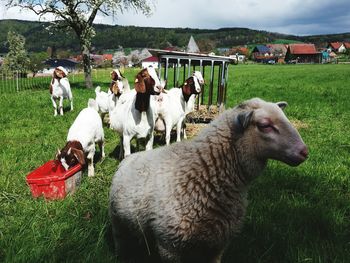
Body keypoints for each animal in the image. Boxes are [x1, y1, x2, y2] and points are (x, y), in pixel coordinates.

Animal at [110, 98, 308, 262]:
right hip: (117, 222)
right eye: (264, 125)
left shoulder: (218, 242)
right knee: (121, 242)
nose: (304, 152)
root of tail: (130, 157)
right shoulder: (169, 245)